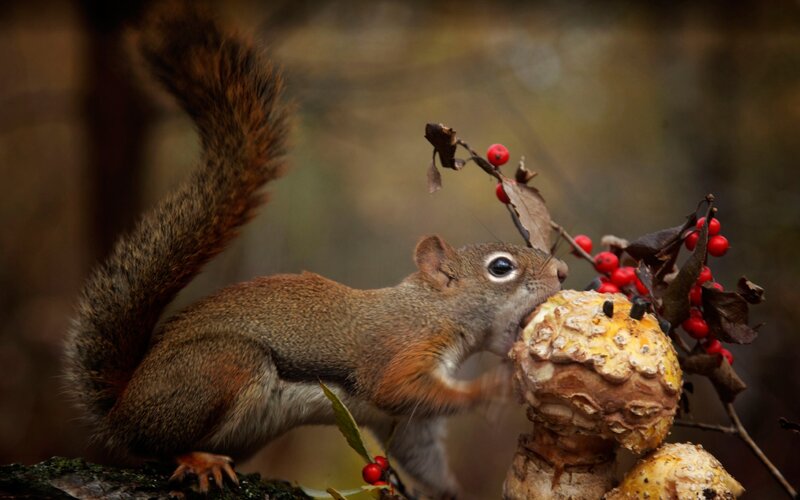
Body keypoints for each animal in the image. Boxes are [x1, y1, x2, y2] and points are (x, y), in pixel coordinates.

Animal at [64, 5, 567, 499]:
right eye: (500, 268)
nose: (561, 270)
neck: (431, 309)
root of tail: (124, 404)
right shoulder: (399, 352)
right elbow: (403, 390)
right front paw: (491, 389)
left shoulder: (410, 425)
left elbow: (423, 454)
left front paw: (446, 491)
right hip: (221, 367)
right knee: (154, 445)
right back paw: (197, 459)